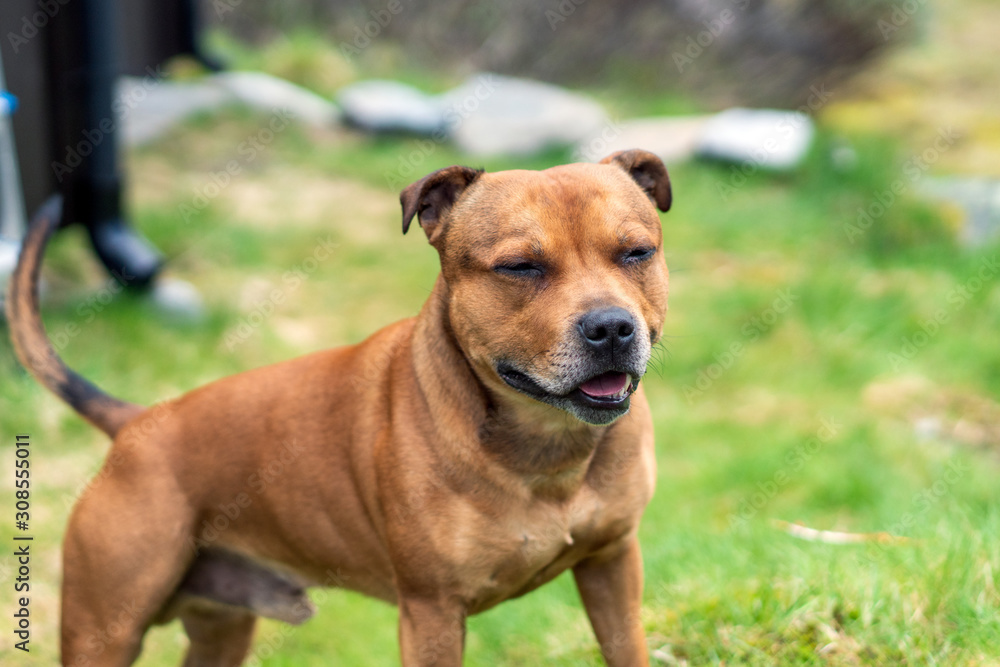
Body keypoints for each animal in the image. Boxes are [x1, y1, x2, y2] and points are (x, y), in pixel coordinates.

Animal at [7, 149, 672, 664]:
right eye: (520, 267)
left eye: (637, 253)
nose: (610, 328)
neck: (546, 442)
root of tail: (136, 424)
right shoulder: (432, 613)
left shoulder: (613, 565)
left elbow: (626, 648)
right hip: (105, 631)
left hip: (222, 628)